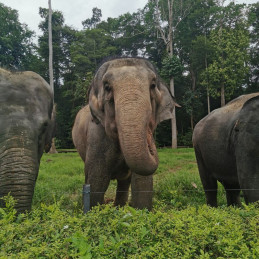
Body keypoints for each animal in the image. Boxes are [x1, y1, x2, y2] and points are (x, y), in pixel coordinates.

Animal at [72, 57, 180, 211]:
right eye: (107, 87)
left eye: (153, 85)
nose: (151, 140)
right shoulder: (97, 136)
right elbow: (97, 180)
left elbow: (142, 183)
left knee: (124, 182)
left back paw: (119, 207)